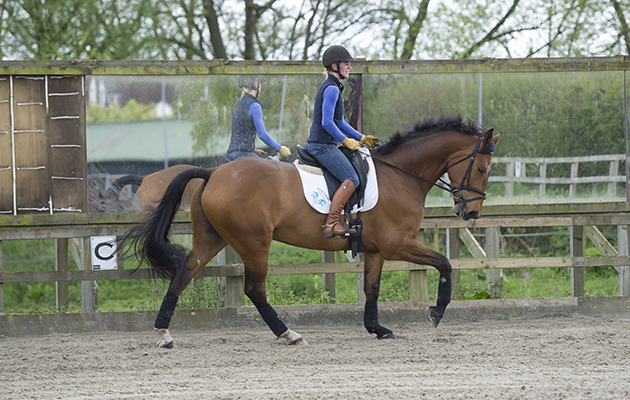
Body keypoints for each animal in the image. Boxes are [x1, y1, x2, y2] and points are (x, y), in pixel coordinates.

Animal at [122, 115, 504, 346]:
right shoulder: (397, 244)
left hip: (212, 239)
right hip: (254, 243)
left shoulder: (376, 250)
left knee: (183, 274)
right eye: (482, 168)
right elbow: (444, 263)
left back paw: (164, 332)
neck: (401, 176)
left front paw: (377, 328)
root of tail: (214, 172)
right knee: (254, 289)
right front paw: (436, 312)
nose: (470, 212)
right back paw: (288, 333)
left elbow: (372, 288)